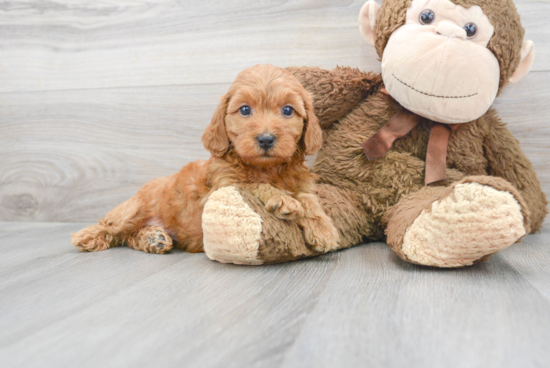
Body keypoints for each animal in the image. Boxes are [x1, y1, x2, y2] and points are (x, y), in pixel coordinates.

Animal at [73, 64, 340, 256]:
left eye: (287, 110)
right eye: (245, 110)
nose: (265, 139)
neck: (268, 168)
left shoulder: (303, 184)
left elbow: (310, 201)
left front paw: (324, 230)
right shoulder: (225, 185)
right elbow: (254, 184)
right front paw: (283, 199)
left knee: (129, 236)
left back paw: (153, 239)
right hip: (137, 208)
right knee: (112, 226)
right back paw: (87, 236)